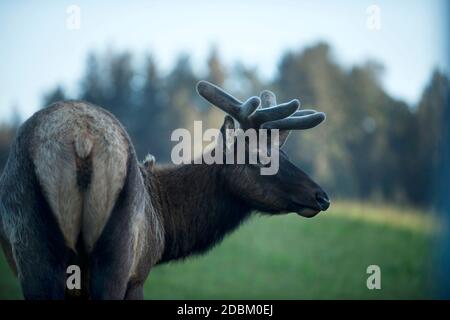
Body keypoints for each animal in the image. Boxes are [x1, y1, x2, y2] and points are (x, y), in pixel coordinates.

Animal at [0, 80, 330, 300]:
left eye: (284, 153)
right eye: (261, 158)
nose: (321, 196)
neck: (166, 227)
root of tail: (81, 140)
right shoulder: (139, 275)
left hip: (35, 251)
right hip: (116, 254)